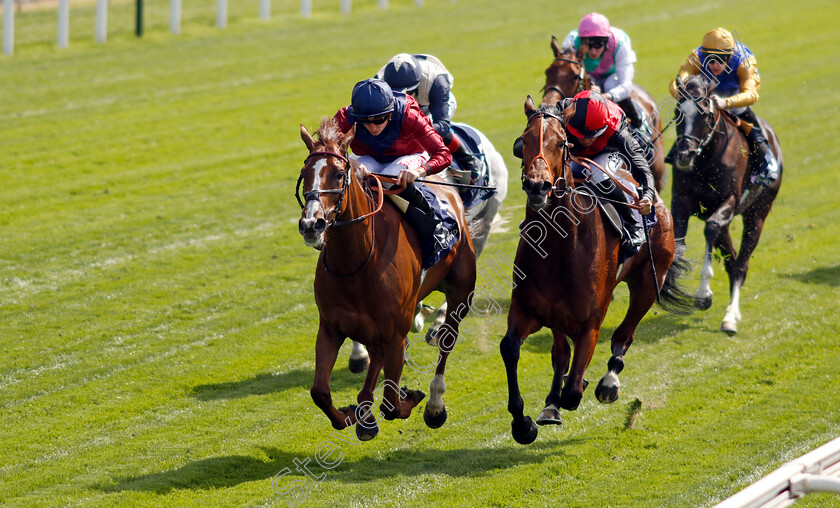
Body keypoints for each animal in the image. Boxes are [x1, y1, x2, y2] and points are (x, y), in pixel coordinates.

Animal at [298, 117, 476, 438]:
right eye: (305, 173)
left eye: (339, 173)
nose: (310, 224)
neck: (357, 264)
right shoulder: (331, 326)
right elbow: (320, 392)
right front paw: (350, 415)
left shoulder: (395, 334)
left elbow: (392, 405)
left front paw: (411, 397)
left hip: (461, 293)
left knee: (446, 341)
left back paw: (434, 405)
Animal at [502, 96, 692, 444]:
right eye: (523, 140)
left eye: (560, 142)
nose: (537, 187)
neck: (558, 251)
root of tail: (658, 200)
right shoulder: (526, 310)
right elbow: (511, 348)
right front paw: (523, 424)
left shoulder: (590, 323)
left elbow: (574, 390)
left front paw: (582, 385)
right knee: (561, 353)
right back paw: (552, 404)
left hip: (648, 282)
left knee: (624, 336)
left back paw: (608, 382)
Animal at [668, 75, 780, 336]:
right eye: (678, 112)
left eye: (704, 115)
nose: (684, 155)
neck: (706, 159)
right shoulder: (681, 201)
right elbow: (678, 243)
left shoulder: (728, 201)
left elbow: (710, 228)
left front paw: (703, 293)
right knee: (731, 260)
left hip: (757, 215)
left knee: (740, 264)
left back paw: (730, 317)